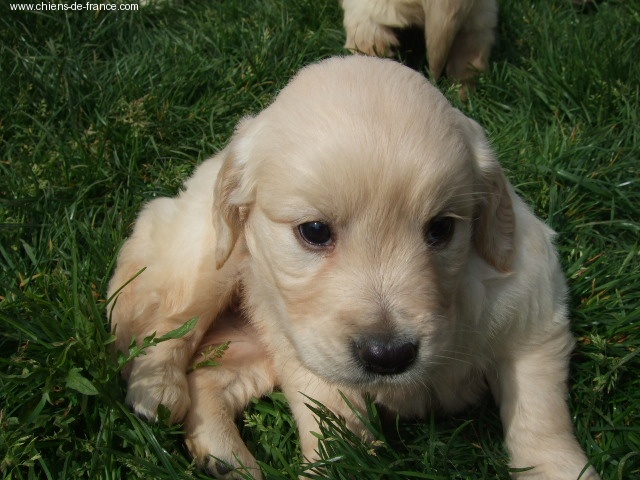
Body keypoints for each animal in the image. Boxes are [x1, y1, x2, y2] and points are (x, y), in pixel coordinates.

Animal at [108, 56, 599, 479]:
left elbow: (540, 419)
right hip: (210, 260)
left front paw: (560, 470)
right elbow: (334, 421)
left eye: (442, 228)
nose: (389, 356)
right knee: (169, 323)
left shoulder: (534, 319)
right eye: (314, 231)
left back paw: (224, 457)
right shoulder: (307, 351)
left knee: (208, 375)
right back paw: (156, 391)